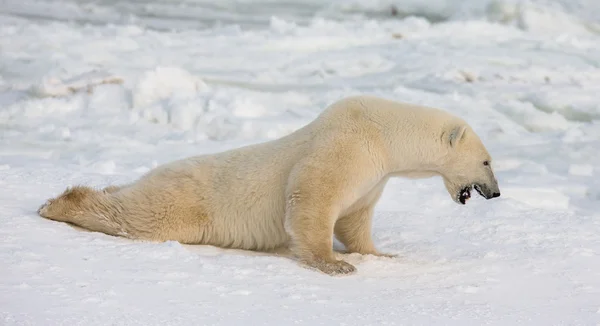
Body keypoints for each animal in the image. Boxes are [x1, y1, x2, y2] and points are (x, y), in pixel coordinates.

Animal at [38, 94, 502, 276]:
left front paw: (381, 252)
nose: (496, 192)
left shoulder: (374, 175)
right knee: (145, 217)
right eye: (487, 161)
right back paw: (61, 203)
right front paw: (336, 264)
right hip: (188, 200)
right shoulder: (346, 147)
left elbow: (355, 216)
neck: (384, 133)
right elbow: (312, 198)